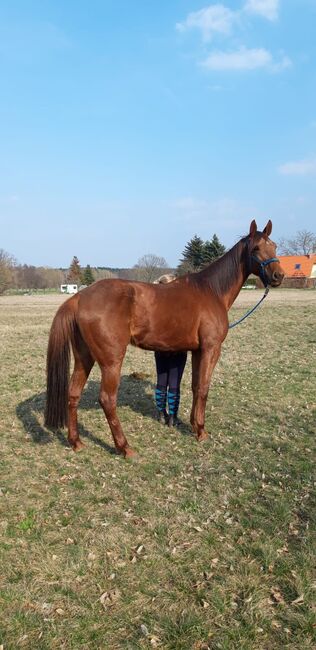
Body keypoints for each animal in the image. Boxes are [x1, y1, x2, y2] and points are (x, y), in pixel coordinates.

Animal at [44, 220, 284, 454]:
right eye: (256, 248)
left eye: (274, 246)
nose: (279, 275)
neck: (211, 291)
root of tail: (79, 297)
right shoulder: (211, 349)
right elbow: (204, 388)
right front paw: (201, 431)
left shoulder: (197, 351)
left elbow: (195, 386)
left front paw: (193, 425)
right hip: (111, 361)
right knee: (107, 399)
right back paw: (124, 447)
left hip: (84, 357)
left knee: (73, 394)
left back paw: (76, 442)